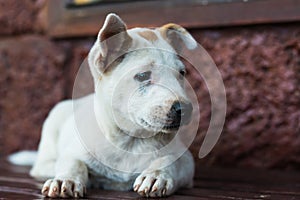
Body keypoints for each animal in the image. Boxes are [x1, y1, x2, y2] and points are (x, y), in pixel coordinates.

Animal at [13, 13, 199, 198]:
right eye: (143, 76)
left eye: (182, 73)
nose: (185, 109)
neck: (129, 142)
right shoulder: (73, 152)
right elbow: (73, 163)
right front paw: (66, 180)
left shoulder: (186, 160)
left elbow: (170, 161)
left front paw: (156, 176)